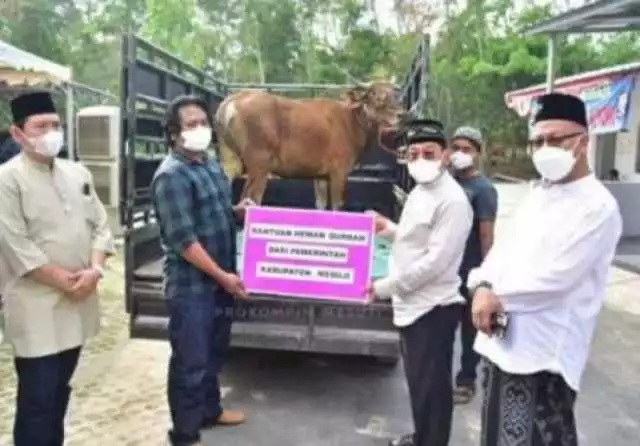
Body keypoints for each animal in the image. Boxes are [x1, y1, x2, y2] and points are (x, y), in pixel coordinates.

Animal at [214, 82, 403, 210]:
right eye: (377, 98)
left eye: (394, 95)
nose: (402, 114)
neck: (354, 127)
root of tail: (228, 103)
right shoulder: (339, 170)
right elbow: (337, 206)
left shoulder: (320, 174)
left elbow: (320, 204)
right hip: (259, 162)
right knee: (249, 200)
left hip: (230, 157)